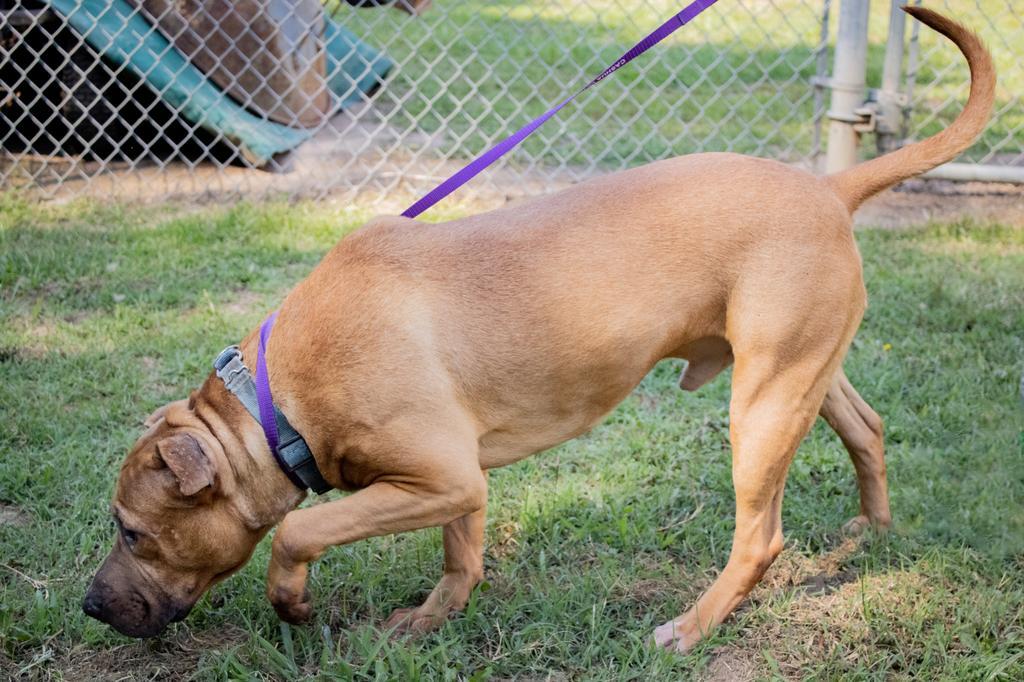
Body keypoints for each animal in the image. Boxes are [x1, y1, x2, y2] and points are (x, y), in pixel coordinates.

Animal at [83, 9, 995, 647]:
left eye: (132, 530)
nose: (89, 604)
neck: (272, 405)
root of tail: (827, 189)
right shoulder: (453, 483)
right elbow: (461, 557)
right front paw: (428, 622)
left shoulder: (436, 477)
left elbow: (301, 528)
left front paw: (294, 604)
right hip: (800, 372)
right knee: (868, 429)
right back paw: (871, 536)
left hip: (761, 408)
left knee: (761, 537)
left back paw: (691, 628)